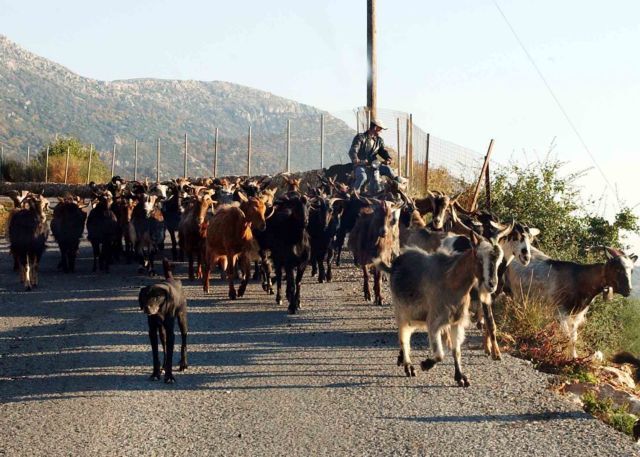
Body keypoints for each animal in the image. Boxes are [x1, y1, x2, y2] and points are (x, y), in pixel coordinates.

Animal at [376, 232, 504, 384]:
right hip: (401, 311)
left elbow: (456, 351)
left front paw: (460, 377)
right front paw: (425, 364)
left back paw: (402, 359)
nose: (492, 285)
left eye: (499, 261)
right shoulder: (434, 322)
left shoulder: (456, 322)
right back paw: (408, 366)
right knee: (403, 337)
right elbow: (439, 355)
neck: (452, 281)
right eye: (479, 258)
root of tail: (395, 265)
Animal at [504, 244, 636, 358]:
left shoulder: (575, 316)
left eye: (632, 270)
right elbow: (566, 336)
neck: (579, 280)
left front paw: (574, 357)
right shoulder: (560, 311)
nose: (628, 290)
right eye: (617, 268)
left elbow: (573, 339)